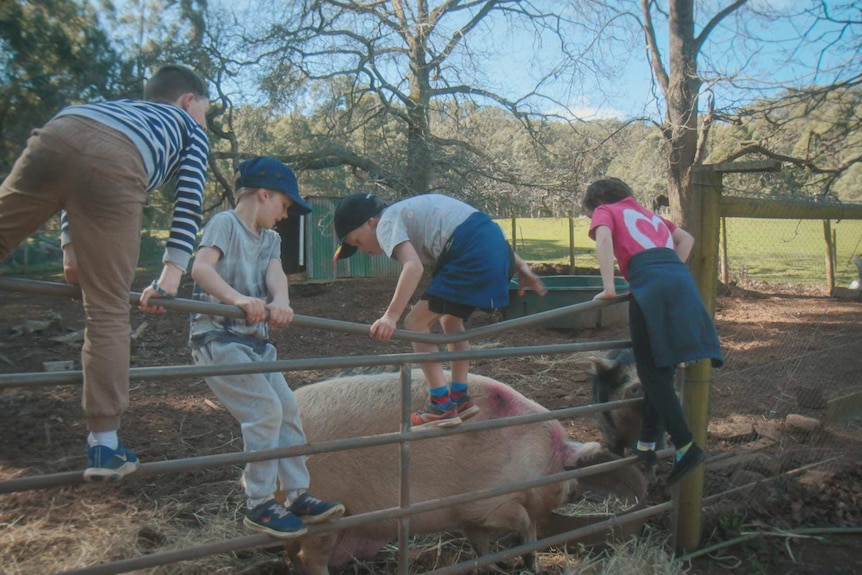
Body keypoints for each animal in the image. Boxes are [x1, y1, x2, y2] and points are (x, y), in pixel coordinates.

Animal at [286, 372, 604, 572]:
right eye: (566, 469)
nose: (577, 489)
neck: (536, 458)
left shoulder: (470, 515)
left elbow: (481, 543)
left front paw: (495, 566)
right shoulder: (491, 501)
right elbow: (524, 521)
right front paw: (526, 562)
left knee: (295, 554)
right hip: (325, 516)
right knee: (310, 557)